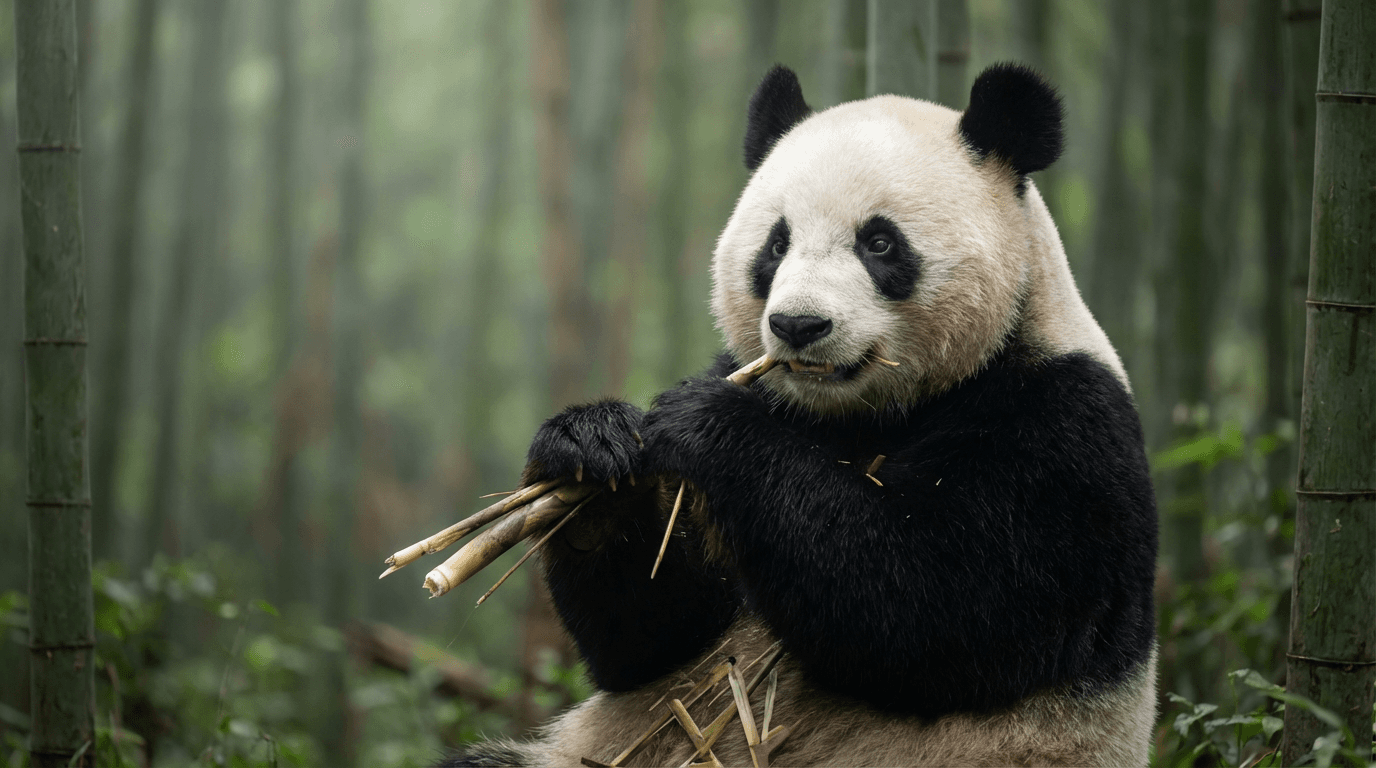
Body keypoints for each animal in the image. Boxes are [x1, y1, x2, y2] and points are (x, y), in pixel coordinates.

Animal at [442, 62, 1158, 767]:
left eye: (880, 243)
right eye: (776, 244)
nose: (797, 325)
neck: (860, 415)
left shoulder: (1063, 427)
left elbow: (937, 607)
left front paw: (708, 424)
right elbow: (654, 636)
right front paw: (592, 456)